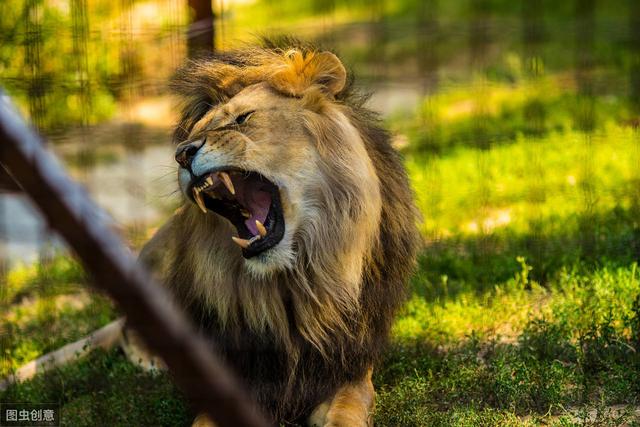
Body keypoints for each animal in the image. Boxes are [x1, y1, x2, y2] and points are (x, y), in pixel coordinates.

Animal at [131, 39, 420, 424]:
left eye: (242, 119)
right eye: (193, 136)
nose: (183, 154)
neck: (293, 283)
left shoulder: (349, 370)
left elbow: (346, 412)